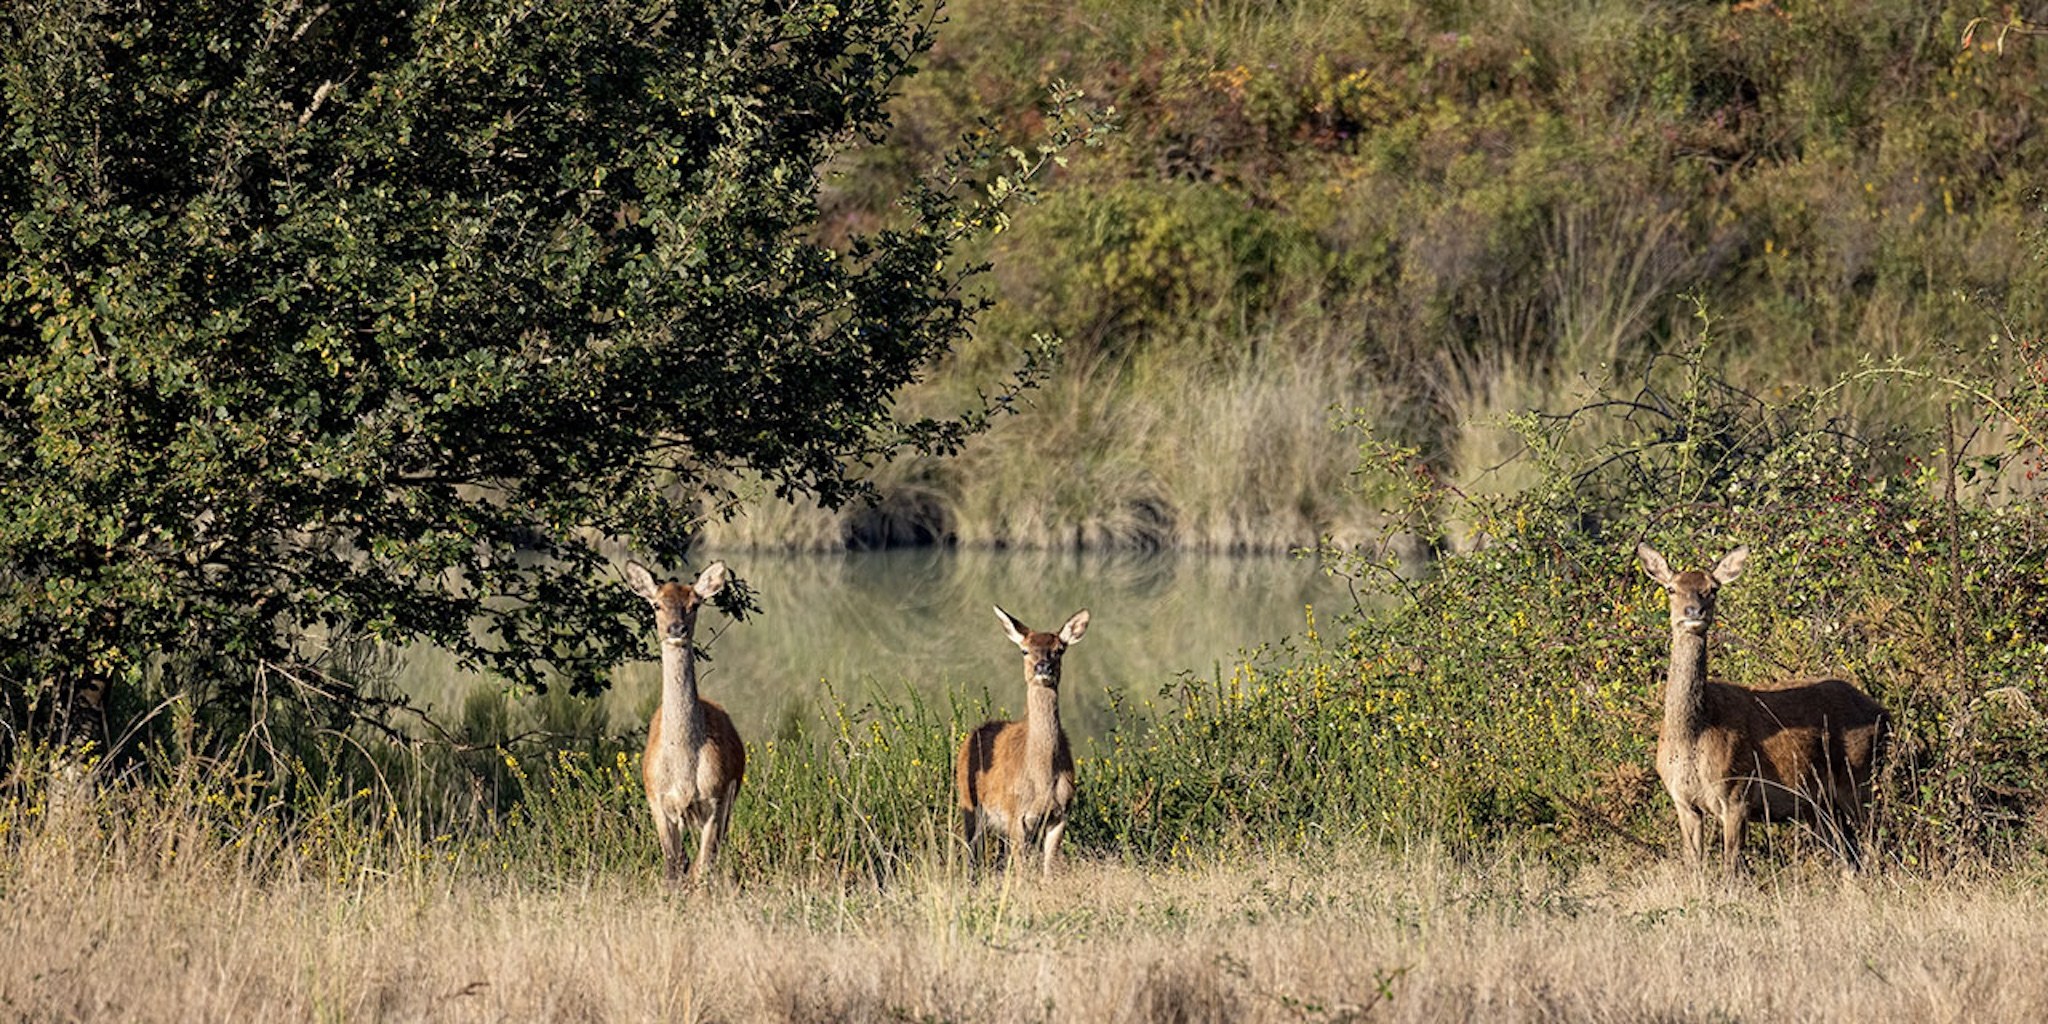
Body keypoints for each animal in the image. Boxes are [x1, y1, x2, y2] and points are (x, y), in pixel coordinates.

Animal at [626, 560, 746, 887]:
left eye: (694, 604)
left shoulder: (717, 798)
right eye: (656, 604)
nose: (676, 629)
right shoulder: (657, 800)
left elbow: (703, 867)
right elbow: (673, 866)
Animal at [955, 605, 1089, 876]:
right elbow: (1020, 871)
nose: (1043, 667)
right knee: (972, 854)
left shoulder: (1060, 814)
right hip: (969, 804)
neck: (1043, 779)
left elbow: (1048, 869)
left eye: (1059, 649)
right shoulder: (1015, 815)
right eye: (1024, 649)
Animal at [1636, 543, 1888, 874]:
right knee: (1849, 858)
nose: (1694, 612)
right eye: (1671, 588)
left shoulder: (1737, 793)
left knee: (1874, 846)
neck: (1694, 734)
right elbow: (1694, 867)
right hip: (1820, 804)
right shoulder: (1683, 800)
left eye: (1712, 589)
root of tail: (1883, 712)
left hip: (1859, 777)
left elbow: (1731, 868)